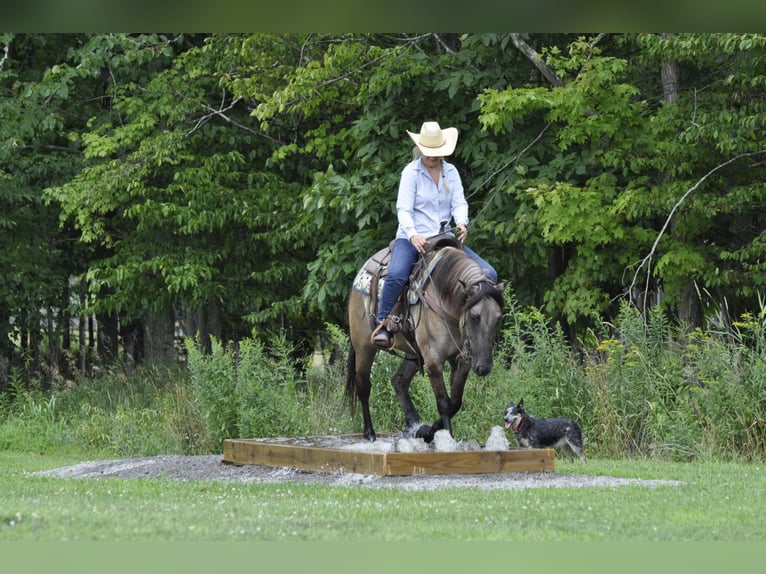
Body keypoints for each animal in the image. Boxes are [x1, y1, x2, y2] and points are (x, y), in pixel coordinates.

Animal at [346, 241, 504, 444]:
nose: (483, 367)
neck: (446, 300)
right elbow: (444, 402)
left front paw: (428, 431)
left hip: (413, 352)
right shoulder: (433, 360)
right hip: (364, 347)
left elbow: (455, 402)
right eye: (475, 317)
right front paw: (447, 438)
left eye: (498, 318)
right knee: (363, 386)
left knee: (399, 381)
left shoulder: (462, 361)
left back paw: (414, 426)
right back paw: (370, 433)